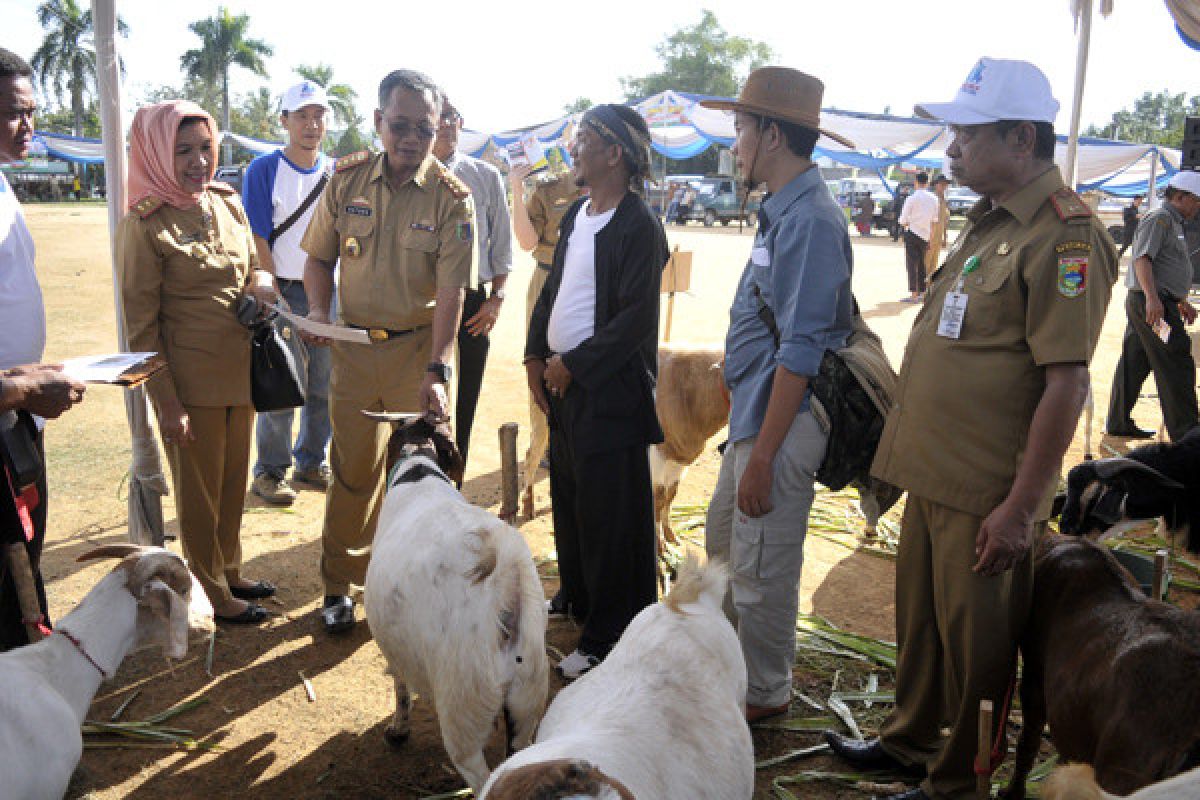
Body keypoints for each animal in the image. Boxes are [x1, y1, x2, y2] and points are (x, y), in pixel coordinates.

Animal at [360, 412, 549, 796]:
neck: (419, 470)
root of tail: (507, 586)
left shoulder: (395, 650)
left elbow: (400, 688)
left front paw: (398, 730)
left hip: (463, 709)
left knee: (481, 775)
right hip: (527, 702)